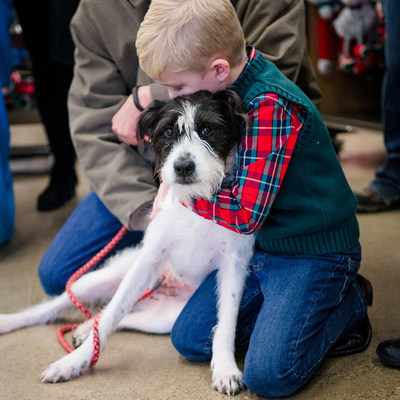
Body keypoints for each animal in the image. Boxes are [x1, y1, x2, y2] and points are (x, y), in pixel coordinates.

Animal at [0, 90, 255, 394]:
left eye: (207, 129)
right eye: (168, 131)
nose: (182, 167)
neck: (197, 200)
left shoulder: (234, 265)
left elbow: (227, 320)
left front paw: (226, 368)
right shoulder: (147, 259)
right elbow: (112, 313)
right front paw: (73, 362)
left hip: (164, 319)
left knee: (123, 316)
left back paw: (84, 328)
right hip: (101, 278)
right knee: (61, 308)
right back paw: (11, 322)